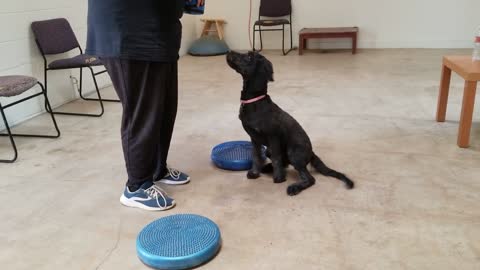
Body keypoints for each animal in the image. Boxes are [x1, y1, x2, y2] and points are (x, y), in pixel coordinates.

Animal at [225, 50, 352, 195]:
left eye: (249, 56)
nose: (229, 51)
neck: (255, 101)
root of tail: (311, 153)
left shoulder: (273, 137)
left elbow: (276, 158)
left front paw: (279, 178)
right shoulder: (254, 138)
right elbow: (256, 156)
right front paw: (255, 173)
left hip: (293, 152)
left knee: (309, 178)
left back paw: (294, 187)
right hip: (270, 150)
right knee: (285, 163)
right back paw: (267, 168)